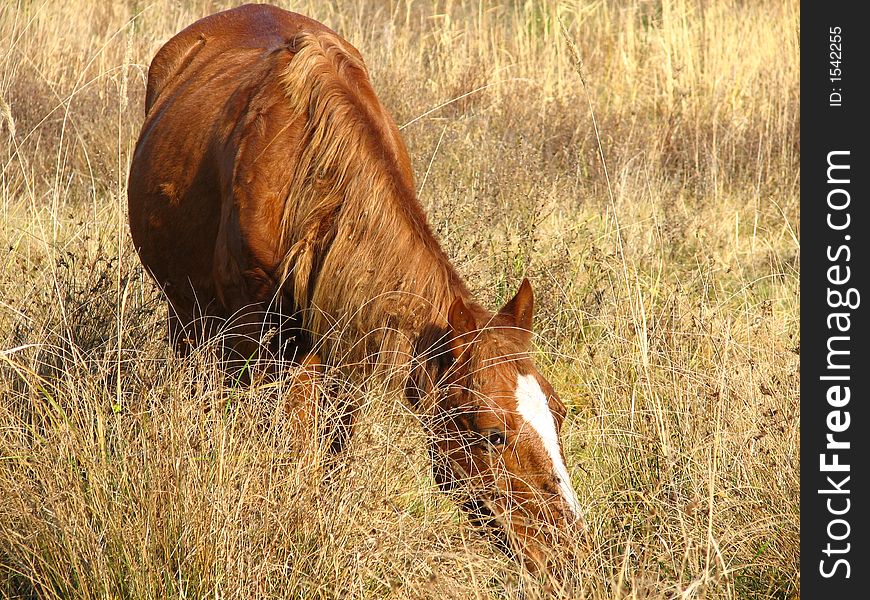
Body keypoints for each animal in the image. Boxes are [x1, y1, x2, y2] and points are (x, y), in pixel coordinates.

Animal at [126, 2, 584, 576]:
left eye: (558, 412)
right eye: (492, 434)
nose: (568, 549)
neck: (306, 174)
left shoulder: (350, 345)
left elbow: (332, 451)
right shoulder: (262, 343)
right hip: (191, 316)